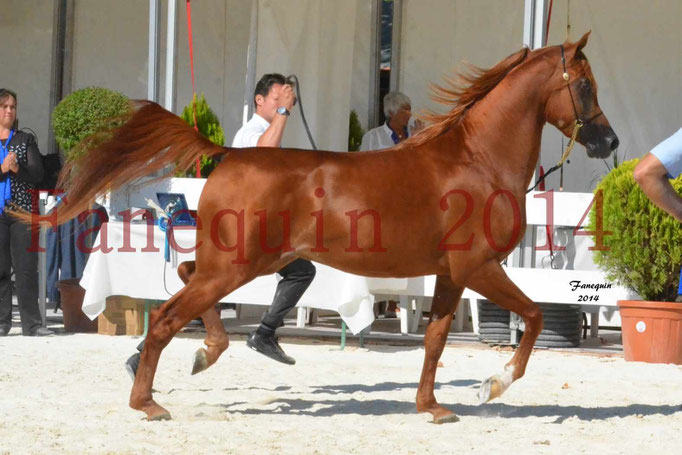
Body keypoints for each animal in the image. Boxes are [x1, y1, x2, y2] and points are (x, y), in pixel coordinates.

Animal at [21, 33, 616, 424]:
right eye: (585, 85)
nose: (608, 142)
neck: (475, 160)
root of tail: (230, 154)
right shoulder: (480, 266)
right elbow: (534, 317)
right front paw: (492, 386)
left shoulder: (452, 274)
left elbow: (434, 341)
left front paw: (432, 406)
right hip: (237, 266)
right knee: (168, 315)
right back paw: (149, 400)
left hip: (237, 263)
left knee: (185, 279)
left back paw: (204, 352)